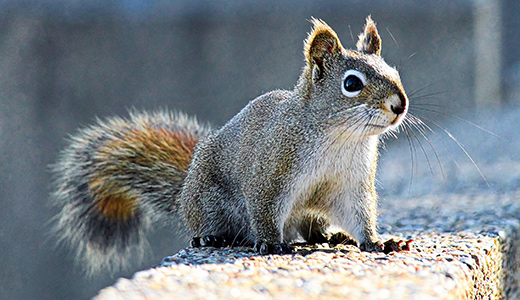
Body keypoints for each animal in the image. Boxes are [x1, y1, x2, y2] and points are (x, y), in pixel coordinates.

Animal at [52, 16, 410, 274]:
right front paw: (271, 244)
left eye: (394, 71)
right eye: (351, 83)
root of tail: (185, 194)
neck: (341, 138)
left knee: (311, 229)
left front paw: (376, 242)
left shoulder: (351, 184)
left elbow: (359, 214)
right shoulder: (271, 174)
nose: (399, 104)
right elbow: (264, 210)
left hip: (310, 214)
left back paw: (331, 236)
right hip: (209, 203)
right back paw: (211, 236)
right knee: (207, 225)